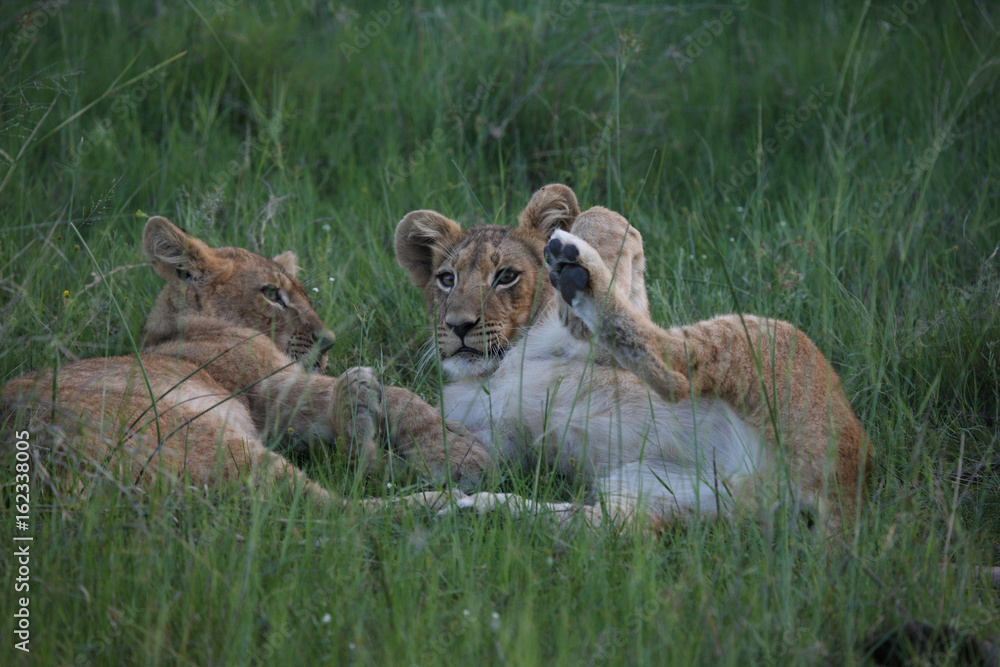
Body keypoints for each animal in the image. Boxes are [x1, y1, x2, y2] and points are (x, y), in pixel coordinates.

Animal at [1, 217, 488, 506]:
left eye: (304, 292)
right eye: (272, 294)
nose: (328, 343)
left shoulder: (284, 417)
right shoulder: (278, 389)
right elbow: (403, 395)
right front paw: (458, 448)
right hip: (206, 440)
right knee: (339, 510)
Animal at [395, 184, 871, 531]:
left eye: (506, 276)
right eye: (446, 279)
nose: (459, 325)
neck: (496, 367)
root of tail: (852, 484)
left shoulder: (608, 340)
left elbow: (605, 219)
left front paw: (576, 271)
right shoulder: (497, 445)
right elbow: (458, 454)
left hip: (768, 336)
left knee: (675, 367)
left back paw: (576, 271)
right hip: (667, 495)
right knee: (598, 526)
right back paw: (471, 506)